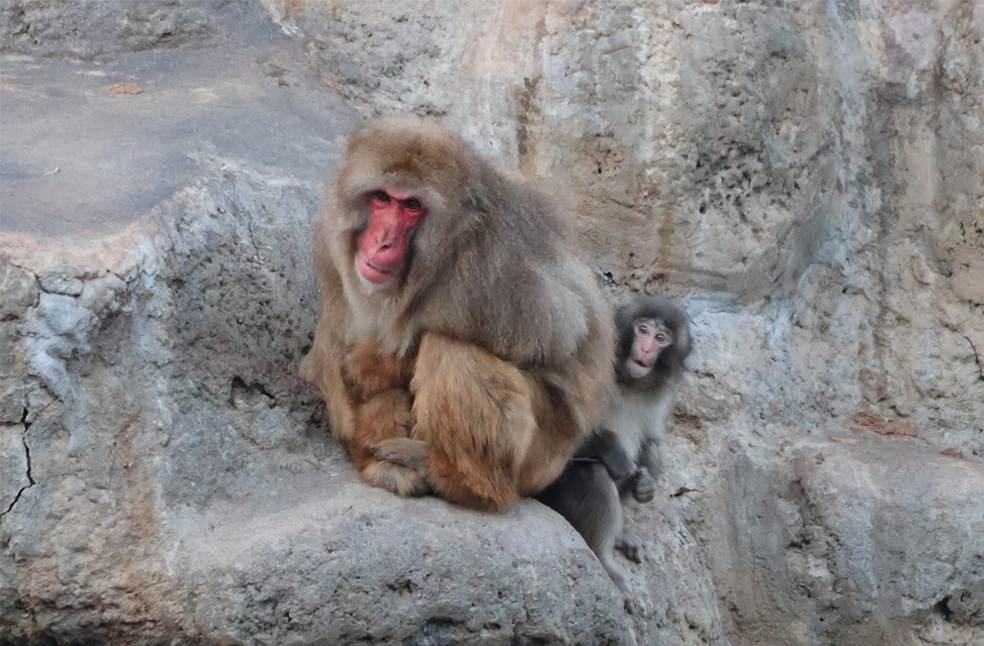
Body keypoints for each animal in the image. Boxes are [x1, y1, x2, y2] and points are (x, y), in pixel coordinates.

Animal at [300, 115, 615, 511]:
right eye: (382, 198)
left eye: (411, 206)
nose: (383, 242)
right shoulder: (330, 244)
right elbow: (336, 349)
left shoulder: (496, 262)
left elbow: (558, 333)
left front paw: (375, 364)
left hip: (542, 456)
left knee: (449, 347)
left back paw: (461, 480)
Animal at [537, 295, 692, 611]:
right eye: (642, 329)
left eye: (660, 338)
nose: (645, 349)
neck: (628, 380)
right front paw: (613, 452)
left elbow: (651, 442)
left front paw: (646, 486)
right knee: (593, 472)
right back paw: (605, 560)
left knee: (649, 450)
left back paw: (620, 534)